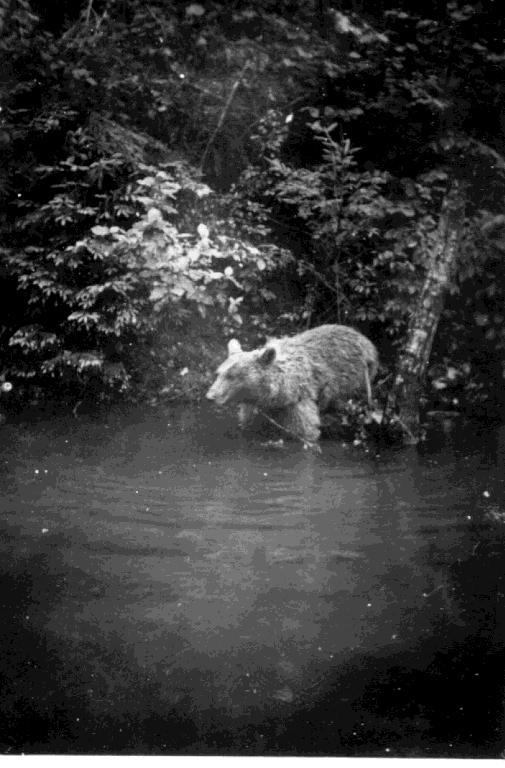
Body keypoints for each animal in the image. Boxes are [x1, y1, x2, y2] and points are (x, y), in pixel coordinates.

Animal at [203, 324, 376, 444]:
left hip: (353, 383)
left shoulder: (298, 403)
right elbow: (248, 427)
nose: (210, 396)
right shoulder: (255, 408)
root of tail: (366, 341)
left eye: (232, 376)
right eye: (218, 373)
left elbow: (305, 431)